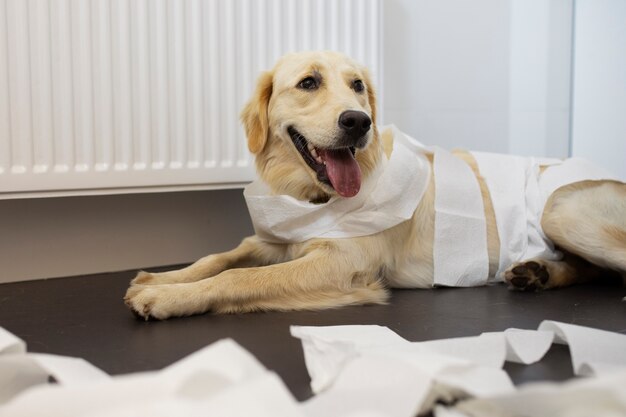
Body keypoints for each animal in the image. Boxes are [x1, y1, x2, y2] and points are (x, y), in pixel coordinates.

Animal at [123, 51, 624, 318]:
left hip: (560, 210)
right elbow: (221, 258)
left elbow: (238, 278)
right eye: (308, 82)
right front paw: (162, 278)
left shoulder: (343, 265)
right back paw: (537, 272)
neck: (314, 197)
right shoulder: (276, 240)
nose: (358, 121)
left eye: (358, 85)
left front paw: (166, 297)